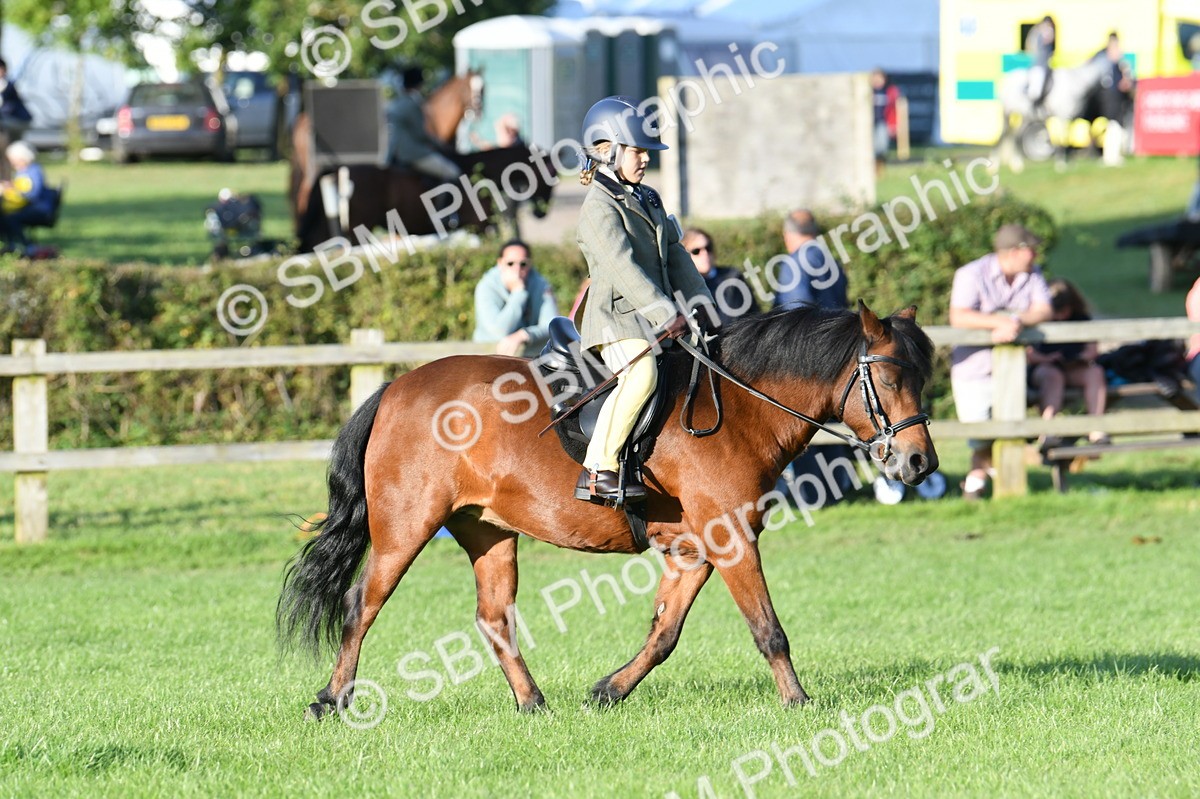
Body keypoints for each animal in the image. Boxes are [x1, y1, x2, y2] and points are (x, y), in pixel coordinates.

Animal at [276, 303, 939, 717]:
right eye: (890, 379)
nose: (919, 463)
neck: (740, 407)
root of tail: (396, 387)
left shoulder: (695, 549)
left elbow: (665, 633)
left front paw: (608, 691)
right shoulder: (731, 540)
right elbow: (768, 629)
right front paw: (798, 703)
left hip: (488, 532)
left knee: (493, 618)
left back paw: (533, 704)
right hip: (406, 528)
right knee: (361, 605)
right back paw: (330, 700)